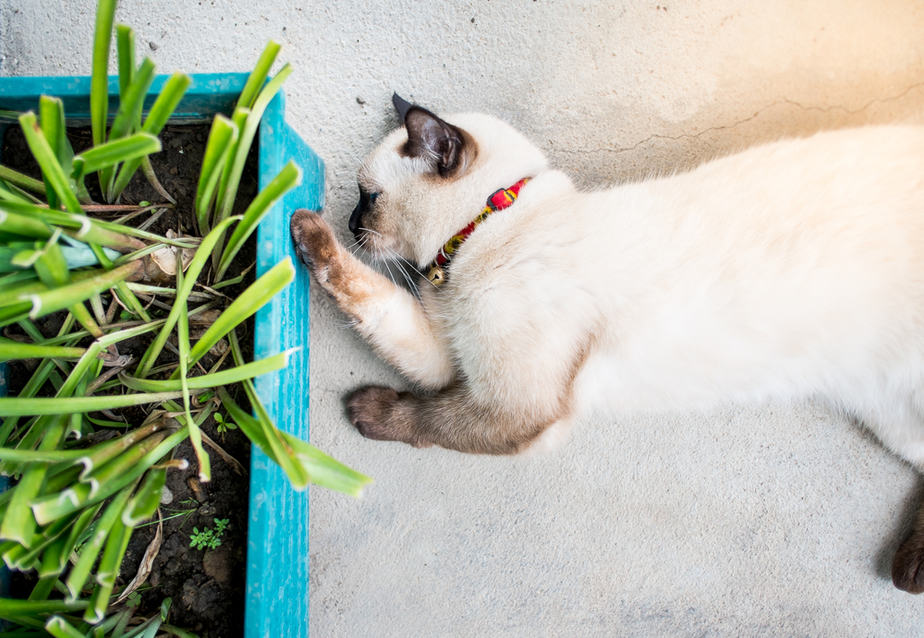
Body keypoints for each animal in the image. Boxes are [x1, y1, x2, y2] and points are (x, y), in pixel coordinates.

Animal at [292, 95, 924, 596]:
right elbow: (375, 303)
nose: (348, 225)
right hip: (892, 414)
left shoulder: (515, 406)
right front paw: (307, 234)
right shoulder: (449, 357)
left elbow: (429, 419)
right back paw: (911, 570)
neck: (478, 238)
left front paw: (365, 411)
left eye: (367, 197)